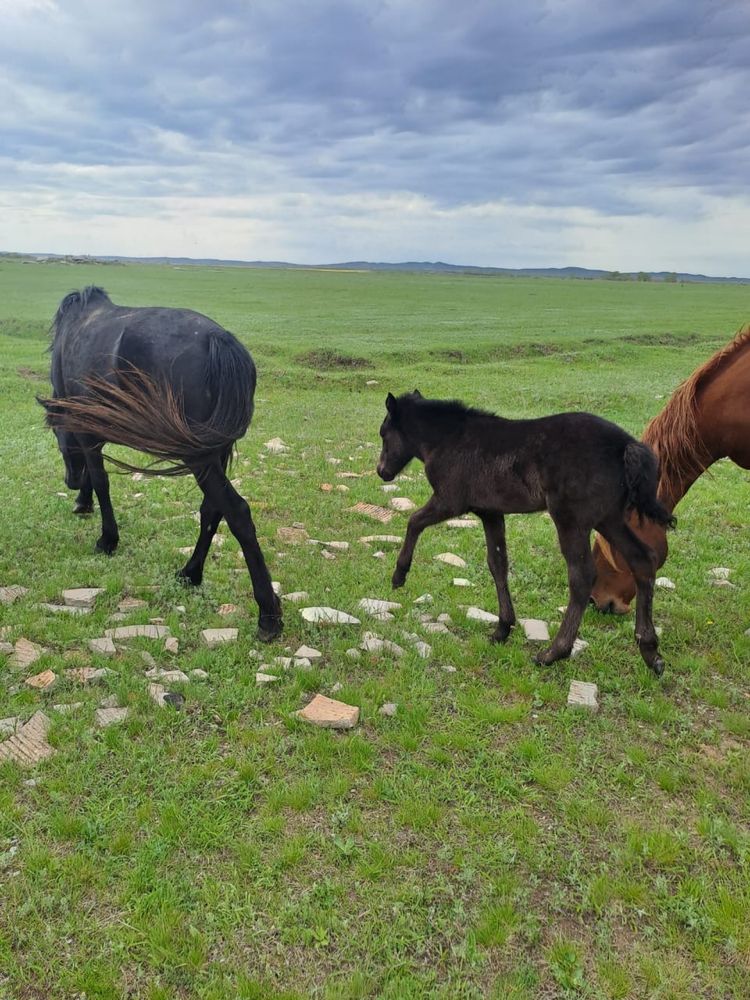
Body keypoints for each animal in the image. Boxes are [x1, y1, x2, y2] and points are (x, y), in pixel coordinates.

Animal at [38, 286, 280, 640]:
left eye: (57, 434)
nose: (70, 481)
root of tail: (219, 340)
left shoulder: (87, 433)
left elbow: (101, 481)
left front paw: (106, 538)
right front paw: (84, 503)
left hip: (198, 457)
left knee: (237, 512)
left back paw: (268, 616)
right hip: (214, 452)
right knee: (212, 509)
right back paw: (190, 573)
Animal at [376, 394, 676, 676]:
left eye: (383, 434)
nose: (382, 472)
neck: (449, 438)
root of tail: (625, 445)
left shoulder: (449, 501)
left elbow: (414, 522)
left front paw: (399, 574)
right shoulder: (490, 513)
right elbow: (497, 564)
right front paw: (502, 628)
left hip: (571, 520)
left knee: (582, 577)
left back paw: (554, 652)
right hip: (609, 519)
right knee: (642, 559)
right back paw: (651, 652)